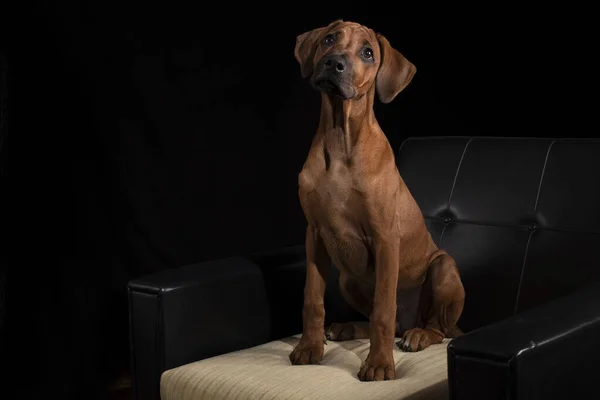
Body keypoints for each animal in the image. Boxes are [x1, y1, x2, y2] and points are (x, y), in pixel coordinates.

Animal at [288, 21, 466, 382]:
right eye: (329, 39)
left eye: (368, 52)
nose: (334, 63)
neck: (340, 138)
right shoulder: (314, 234)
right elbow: (312, 298)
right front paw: (309, 347)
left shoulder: (385, 237)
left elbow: (384, 308)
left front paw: (380, 364)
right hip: (347, 279)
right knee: (384, 320)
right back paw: (344, 328)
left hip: (442, 267)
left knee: (434, 328)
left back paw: (417, 335)